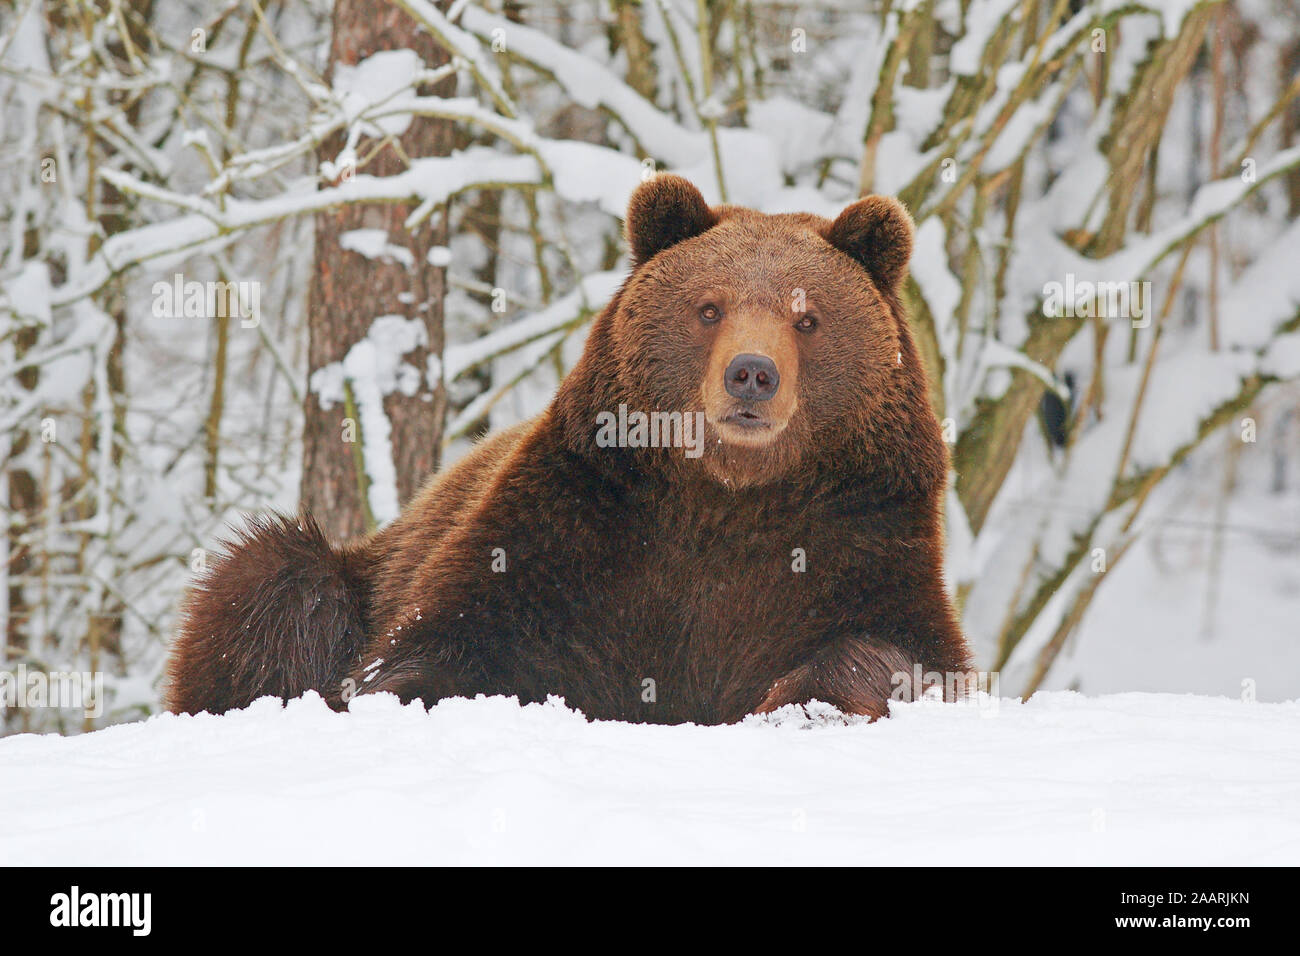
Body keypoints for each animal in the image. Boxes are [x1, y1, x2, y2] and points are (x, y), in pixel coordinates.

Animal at [167, 174, 972, 723]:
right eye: (708, 307)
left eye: (808, 318)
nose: (752, 373)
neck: (726, 494)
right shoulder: (578, 525)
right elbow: (446, 643)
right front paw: (399, 691)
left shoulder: (856, 538)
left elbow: (901, 655)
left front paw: (807, 696)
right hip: (357, 568)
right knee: (269, 582)